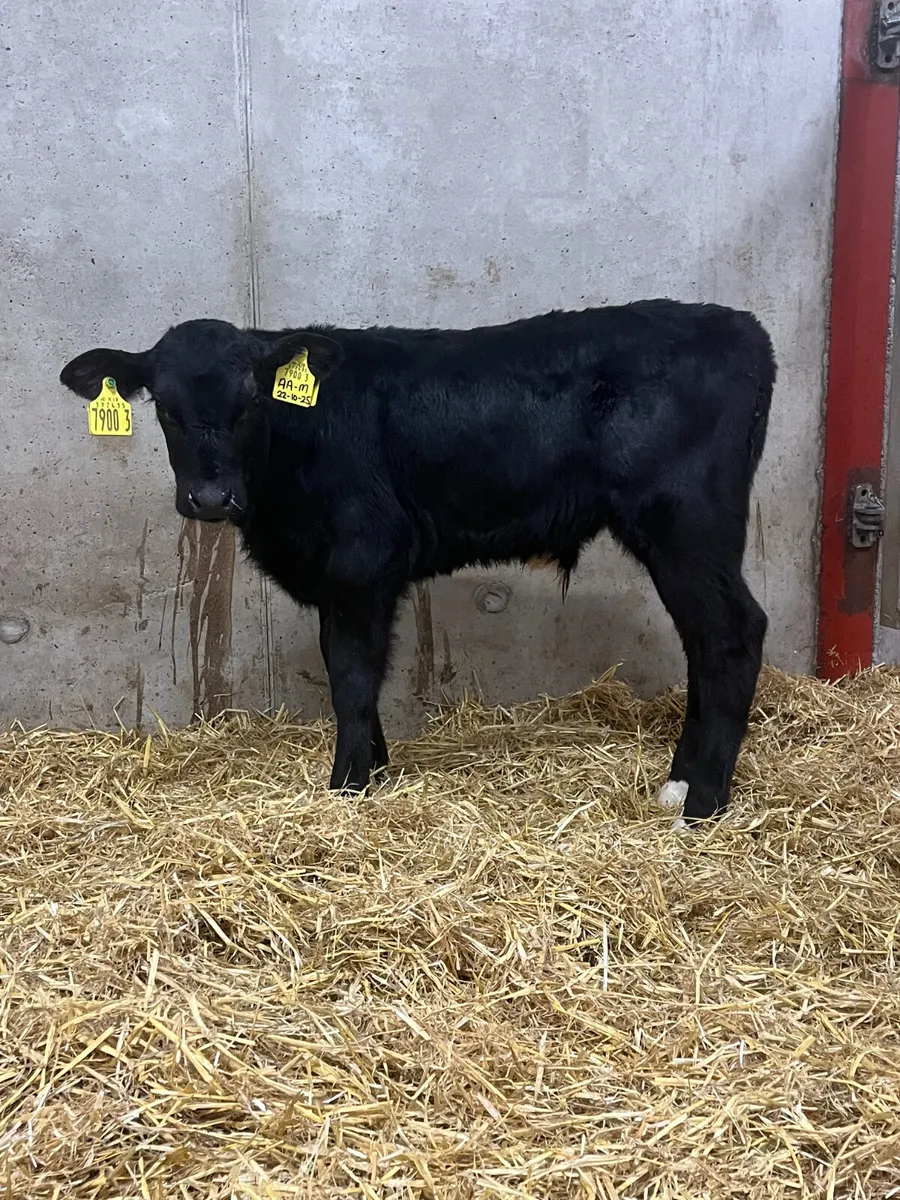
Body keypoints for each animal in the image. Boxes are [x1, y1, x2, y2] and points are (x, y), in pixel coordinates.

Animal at [60, 300, 775, 823]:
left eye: (251, 402)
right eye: (165, 407)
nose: (210, 498)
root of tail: (740, 325)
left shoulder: (363, 557)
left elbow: (353, 675)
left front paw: (348, 786)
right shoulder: (339, 577)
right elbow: (347, 668)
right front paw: (373, 768)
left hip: (687, 525)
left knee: (732, 634)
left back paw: (703, 804)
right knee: (703, 643)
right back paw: (679, 783)